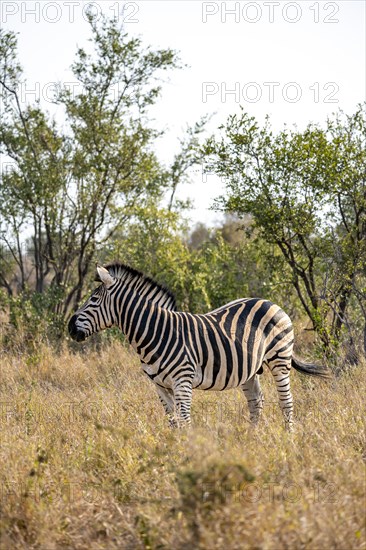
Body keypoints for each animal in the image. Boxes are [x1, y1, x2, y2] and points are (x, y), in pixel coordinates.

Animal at [68, 266, 328, 434]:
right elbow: (173, 421)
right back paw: (251, 438)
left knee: (286, 401)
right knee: (256, 401)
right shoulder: (159, 385)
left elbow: (185, 419)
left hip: (279, 360)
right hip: (250, 369)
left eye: (93, 300)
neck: (155, 331)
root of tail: (270, 302)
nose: (70, 327)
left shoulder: (182, 380)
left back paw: (288, 437)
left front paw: (188, 454)